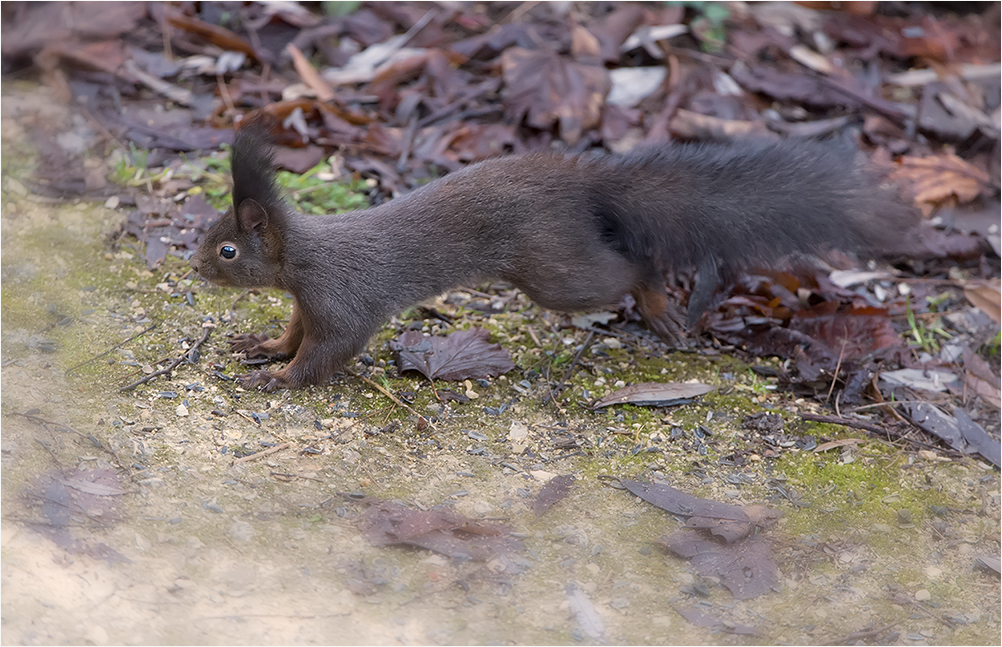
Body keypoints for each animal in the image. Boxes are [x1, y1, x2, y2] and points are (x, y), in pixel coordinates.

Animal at [191, 126, 897, 390]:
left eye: (228, 249)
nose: (193, 267)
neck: (303, 260)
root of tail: (583, 184)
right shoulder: (308, 303)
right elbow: (295, 332)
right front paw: (264, 347)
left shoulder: (343, 300)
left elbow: (329, 351)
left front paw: (279, 379)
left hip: (557, 271)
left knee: (630, 268)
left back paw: (656, 304)